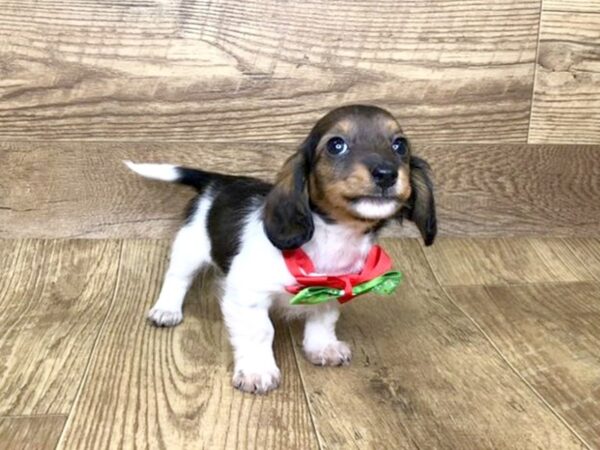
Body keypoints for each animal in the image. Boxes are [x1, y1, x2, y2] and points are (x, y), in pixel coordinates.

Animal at [126, 105, 436, 394]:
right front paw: (257, 370)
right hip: (189, 248)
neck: (332, 240)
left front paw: (322, 347)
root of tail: (219, 181)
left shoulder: (334, 287)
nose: (386, 174)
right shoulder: (247, 295)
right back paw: (166, 309)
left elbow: (324, 318)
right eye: (336, 145)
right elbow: (261, 331)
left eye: (400, 145)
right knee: (177, 279)